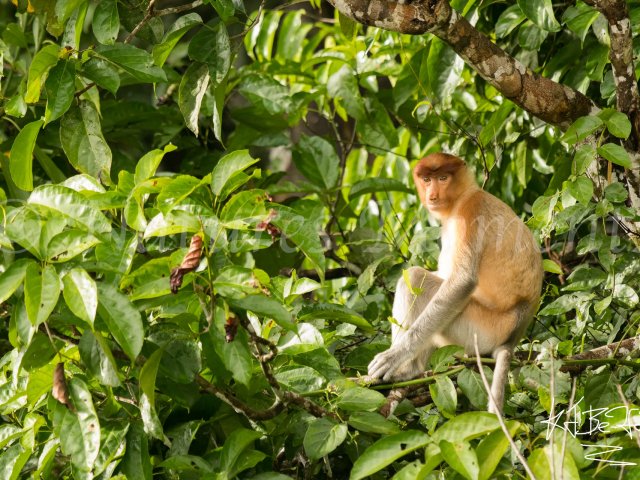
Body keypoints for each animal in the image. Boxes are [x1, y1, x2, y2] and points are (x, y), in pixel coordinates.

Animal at [367, 153, 543, 414]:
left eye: (443, 178)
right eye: (426, 179)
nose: (432, 195)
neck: (463, 196)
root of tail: (514, 333)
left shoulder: (470, 214)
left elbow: (461, 282)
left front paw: (393, 356)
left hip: (479, 330)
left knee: (415, 278)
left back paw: (410, 369)